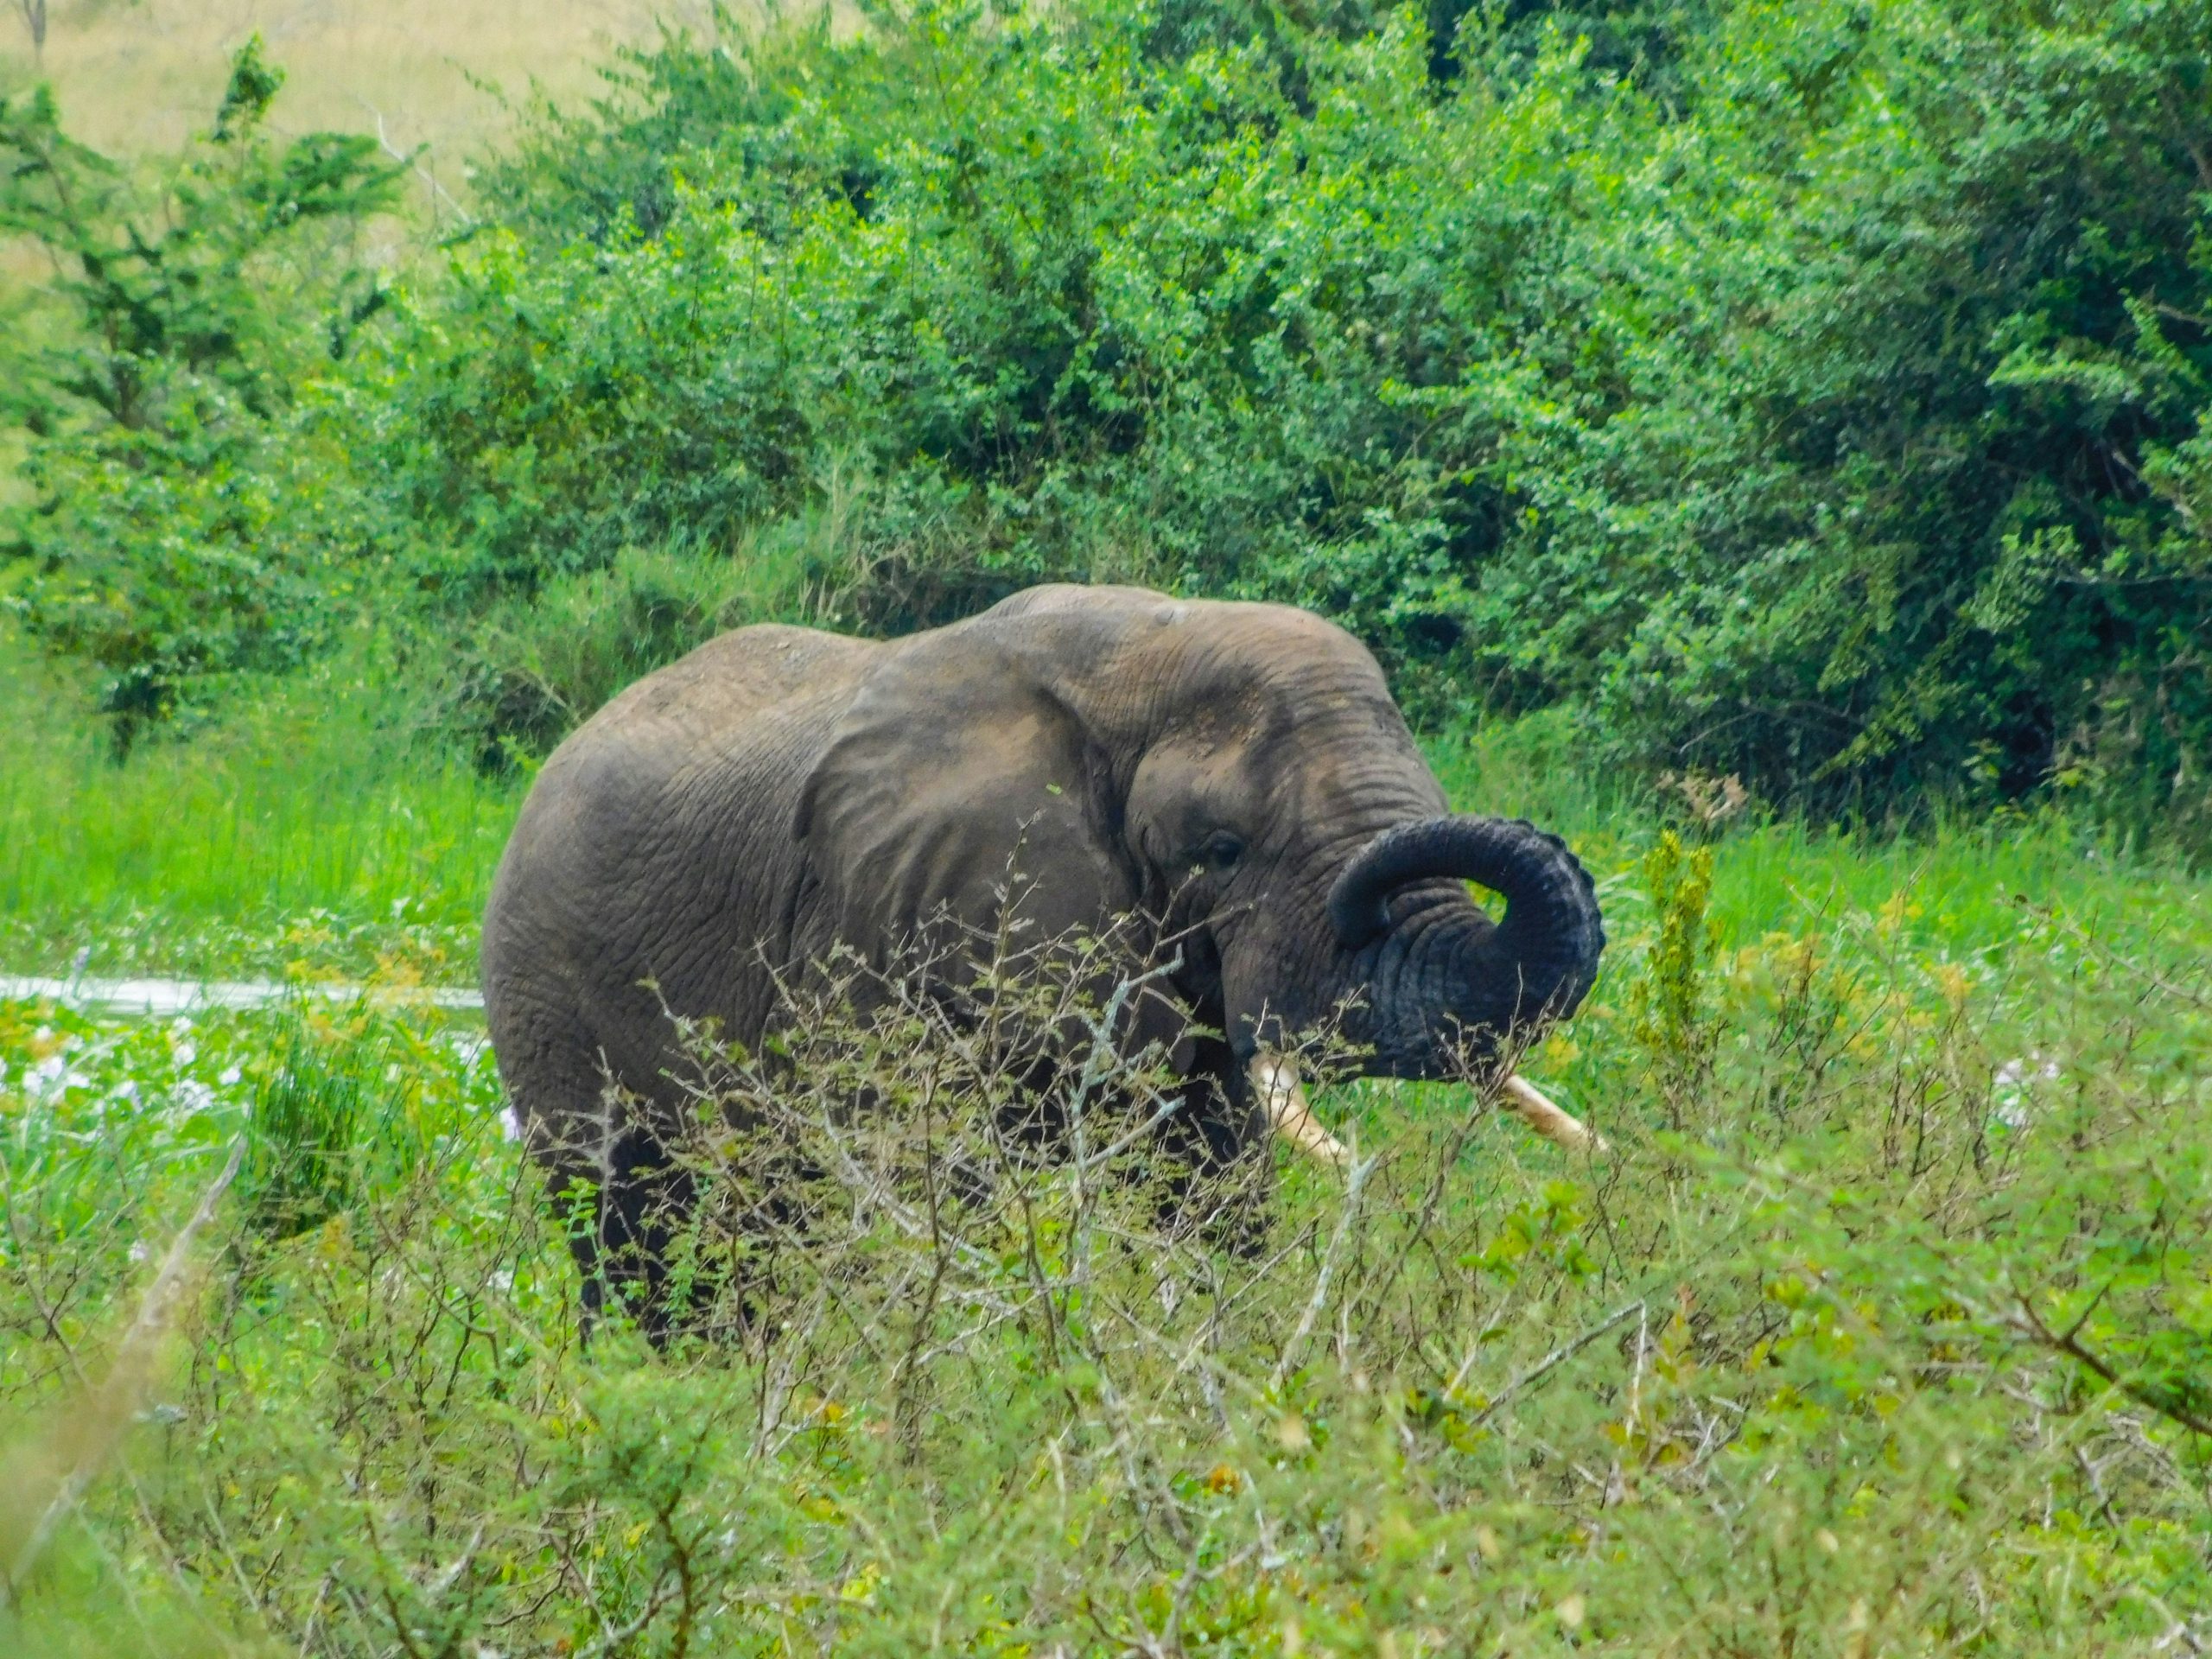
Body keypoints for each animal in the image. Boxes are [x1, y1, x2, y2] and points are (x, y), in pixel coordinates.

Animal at [482, 584, 1606, 1340]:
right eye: (1219, 851)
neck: (1146, 646)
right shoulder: (885, 919)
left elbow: (1212, 1175)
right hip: (545, 991)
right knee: (631, 1224)